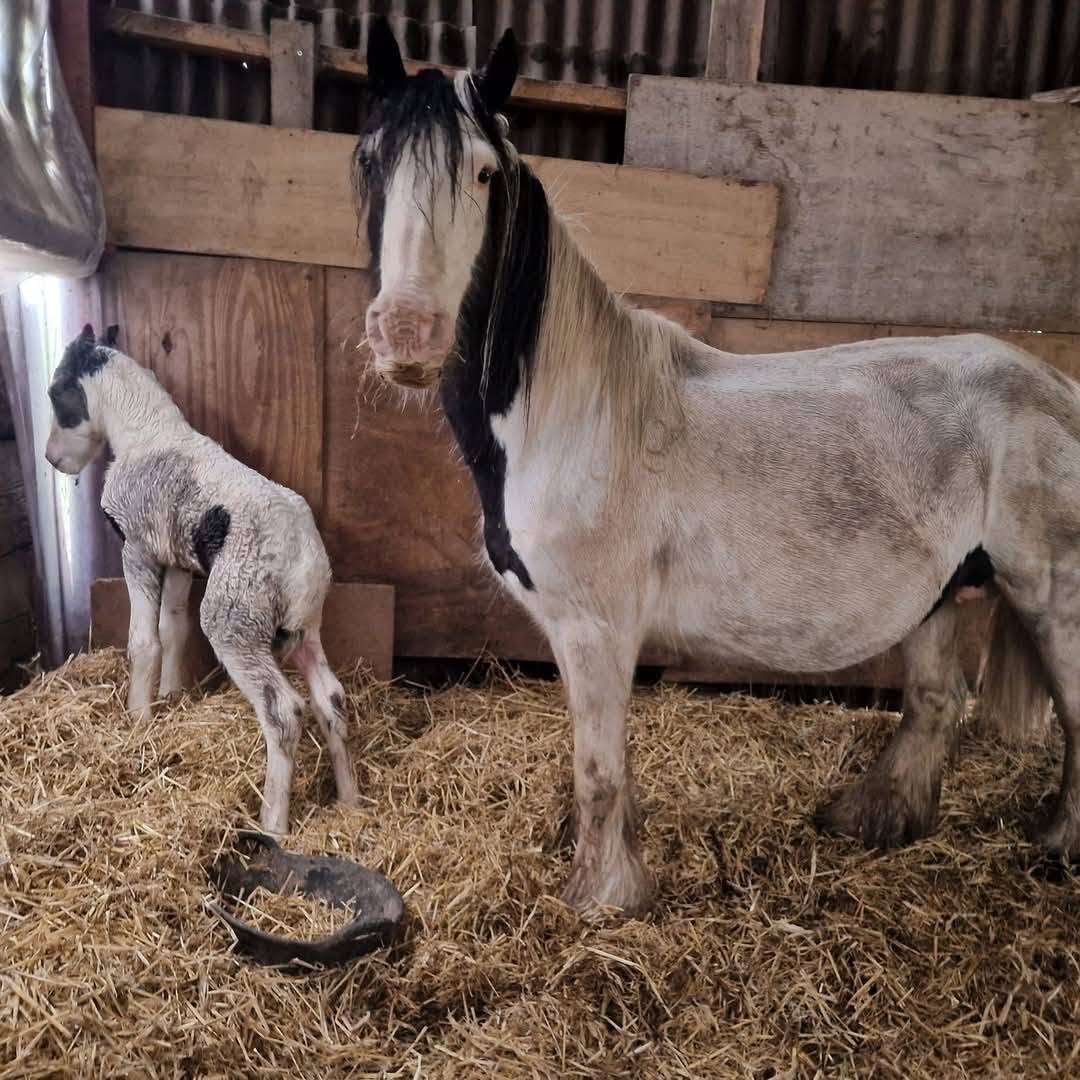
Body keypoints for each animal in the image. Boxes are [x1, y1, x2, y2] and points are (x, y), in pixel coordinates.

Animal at [355, 20, 1076, 917]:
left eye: (484, 172)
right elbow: (608, 771)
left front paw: (602, 898)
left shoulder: (596, 631)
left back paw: (1055, 846)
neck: (573, 413)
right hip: (945, 595)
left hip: (1054, 598)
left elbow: (598, 772)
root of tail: (1055, 387)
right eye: (369, 160)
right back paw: (874, 819)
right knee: (935, 705)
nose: (406, 333)